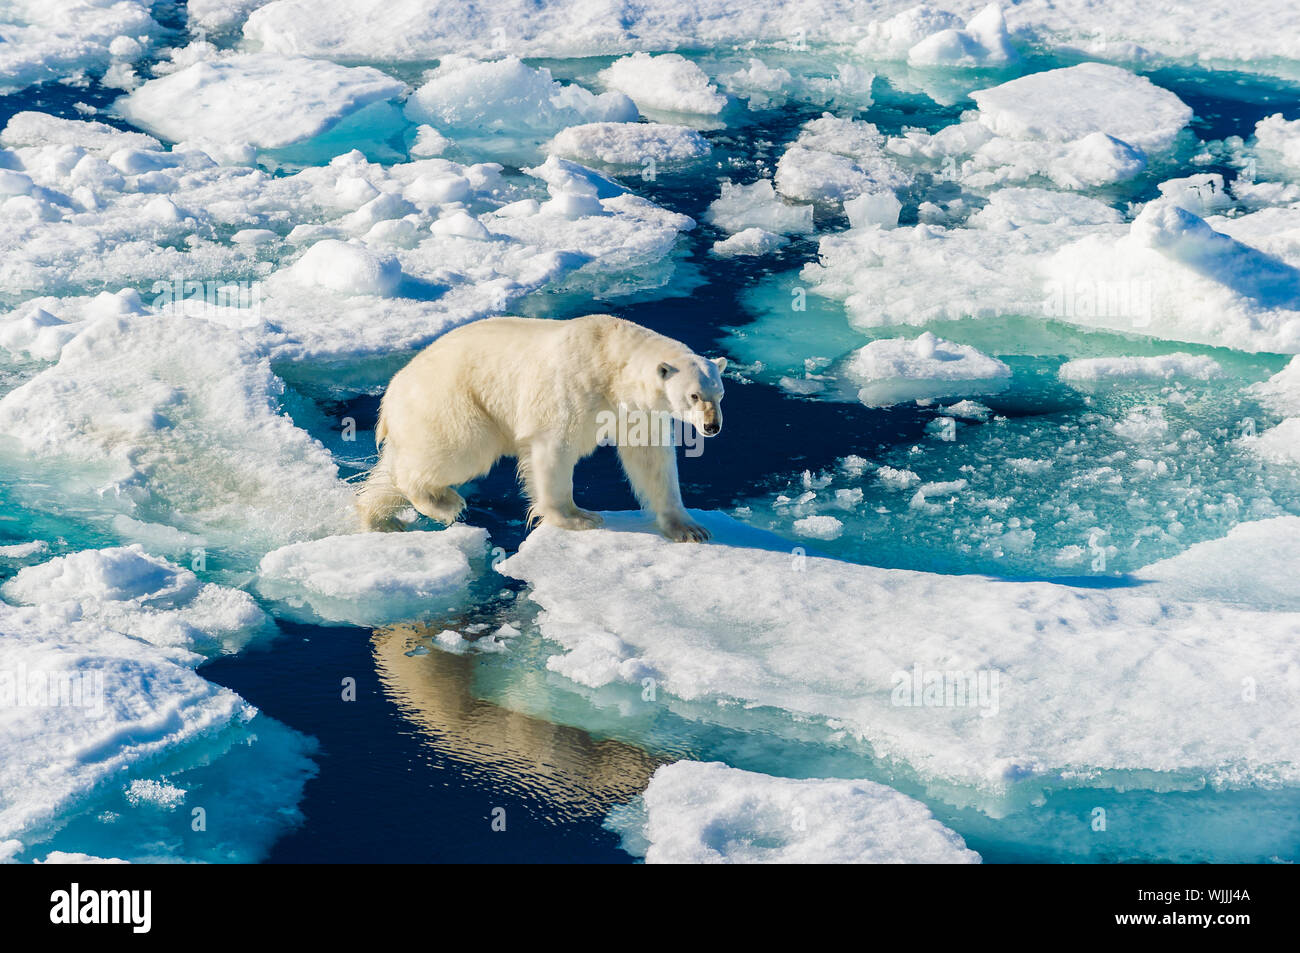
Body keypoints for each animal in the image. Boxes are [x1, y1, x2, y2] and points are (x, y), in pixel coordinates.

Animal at [356, 315, 728, 538]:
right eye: (694, 395)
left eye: (721, 393)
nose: (712, 427)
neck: (609, 359)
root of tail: (391, 394)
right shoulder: (572, 389)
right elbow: (554, 449)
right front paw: (578, 518)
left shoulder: (636, 411)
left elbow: (652, 460)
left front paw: (690, 529)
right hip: (453, 402)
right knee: (460, 451)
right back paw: (444, 503)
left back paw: (379, 517)